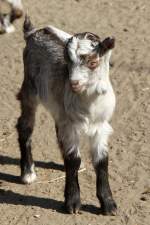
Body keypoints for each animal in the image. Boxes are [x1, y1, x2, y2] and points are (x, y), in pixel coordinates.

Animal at [16, 16, 117, 215]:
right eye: (68, 61)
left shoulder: (101, 126)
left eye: (93, 62)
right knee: (25, 126)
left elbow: (102, 161)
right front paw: (72, 203)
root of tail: (32, 32)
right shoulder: (71, 127)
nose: (73, 83)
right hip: (30, 89)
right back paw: (28, 173)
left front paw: (109, 205)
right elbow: (73, 160)